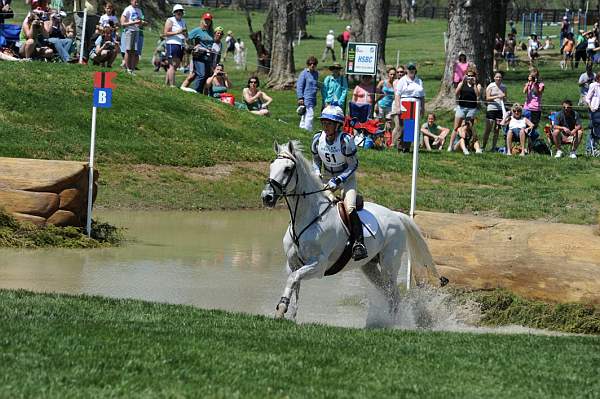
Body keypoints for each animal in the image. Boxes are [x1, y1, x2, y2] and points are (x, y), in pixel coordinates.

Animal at [260, 141, 442, 324]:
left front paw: (281, 308)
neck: (307, 216)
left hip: (389, 264)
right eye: (272, 165)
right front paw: (289, 316)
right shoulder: (293, 264)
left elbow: (293, 279)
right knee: (387, 292)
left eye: (288, 169)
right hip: (369, 266)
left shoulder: (318, 265)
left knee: (394, 295)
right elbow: (295, 285)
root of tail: (396, 215)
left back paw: (392, 324)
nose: (267, 197)